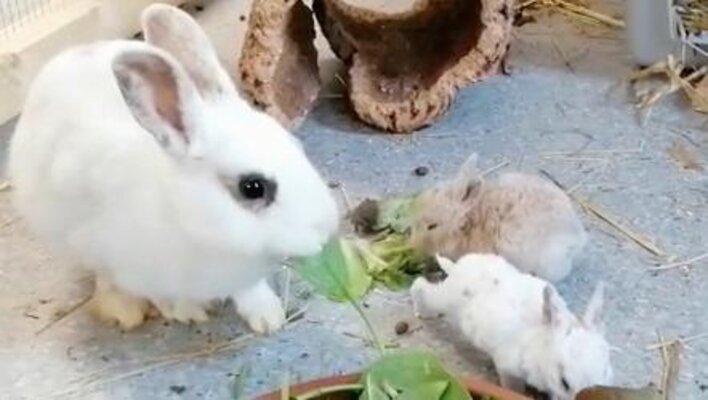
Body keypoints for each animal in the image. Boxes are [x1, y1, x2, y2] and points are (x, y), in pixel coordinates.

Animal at [7, 4, 338, 334]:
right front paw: (186, 312)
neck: (189, 220)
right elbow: (162, 294)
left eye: (297, 145)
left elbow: (250, 290)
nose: (325, 229)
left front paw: (268, 318)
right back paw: (124, 309)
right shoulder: (138, 269)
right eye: (253, 187)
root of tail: (65, 57)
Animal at [410, 253, 612, 400]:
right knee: (420, 286)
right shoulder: (508, 369)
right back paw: (423, 312)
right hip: (443, 300)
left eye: (606, 373)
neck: (538, 345)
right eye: (565, 383)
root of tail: (457, 268)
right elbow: (512, 387)